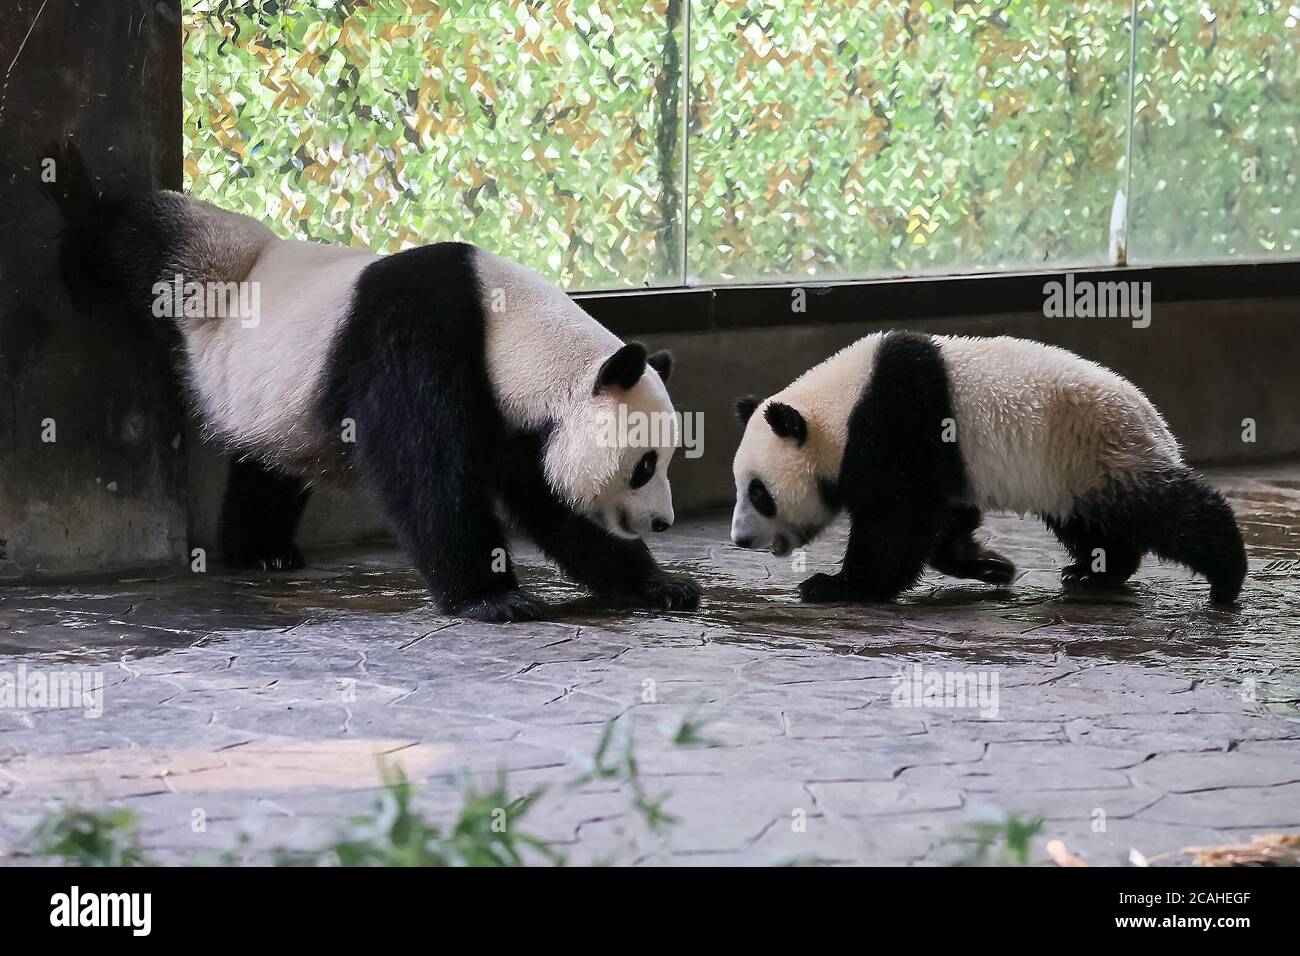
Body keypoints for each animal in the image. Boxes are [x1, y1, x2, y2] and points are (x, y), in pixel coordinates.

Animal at [48, 153, 699, 623]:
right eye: (644, 464)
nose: (662, 523)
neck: (511, 331)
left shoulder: (518, 419)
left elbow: (554, 502)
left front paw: (661, 584)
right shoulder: (419, 343)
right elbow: (425, 470)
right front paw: (496, 599)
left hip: (272, 395)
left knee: (268, 466)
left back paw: (262, 549)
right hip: (209, 271)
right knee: (146, 238)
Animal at [730, 330, 1247, 605]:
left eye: (758, 492)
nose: (740, 539)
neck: (839, 410)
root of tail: (1152, 418)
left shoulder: (901, 420)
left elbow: (898, 519)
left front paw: (836, 585)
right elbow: (945, 516)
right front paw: (990, 565)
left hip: (1097, 449)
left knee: (1163, 510)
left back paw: (1226, 576)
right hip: (1068, 473)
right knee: (1087, 522)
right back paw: (1096, 571)